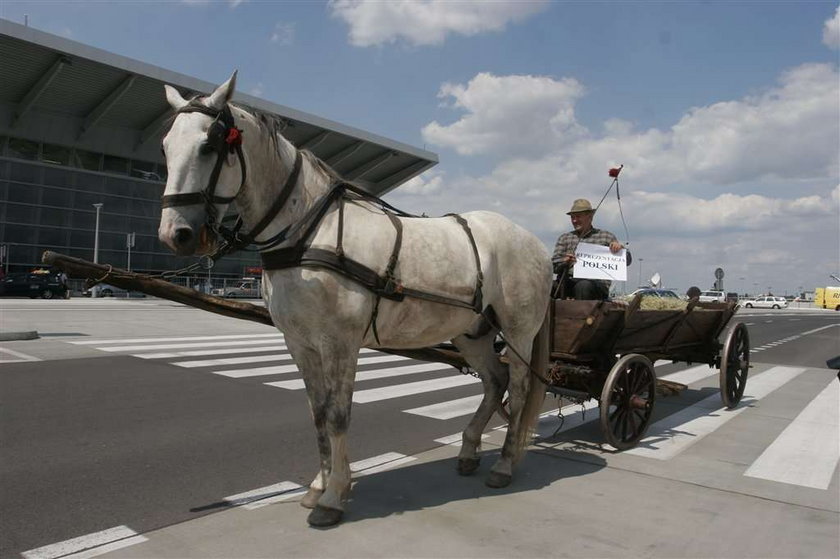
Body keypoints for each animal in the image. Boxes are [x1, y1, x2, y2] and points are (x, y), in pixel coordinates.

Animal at [158, 72, 556, 528]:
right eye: (166, 146)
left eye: (209, 146)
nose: (175, 234)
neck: (309, 230)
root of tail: (533, 241)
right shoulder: (300, 343)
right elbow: (317, 413)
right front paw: (319, 485)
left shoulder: (341, 343)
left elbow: (337, 414)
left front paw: (333, 496)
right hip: (471, 333)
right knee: (495, 381)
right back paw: (470, 449)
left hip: (518, 332)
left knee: (520, 388)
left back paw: (505, 463)